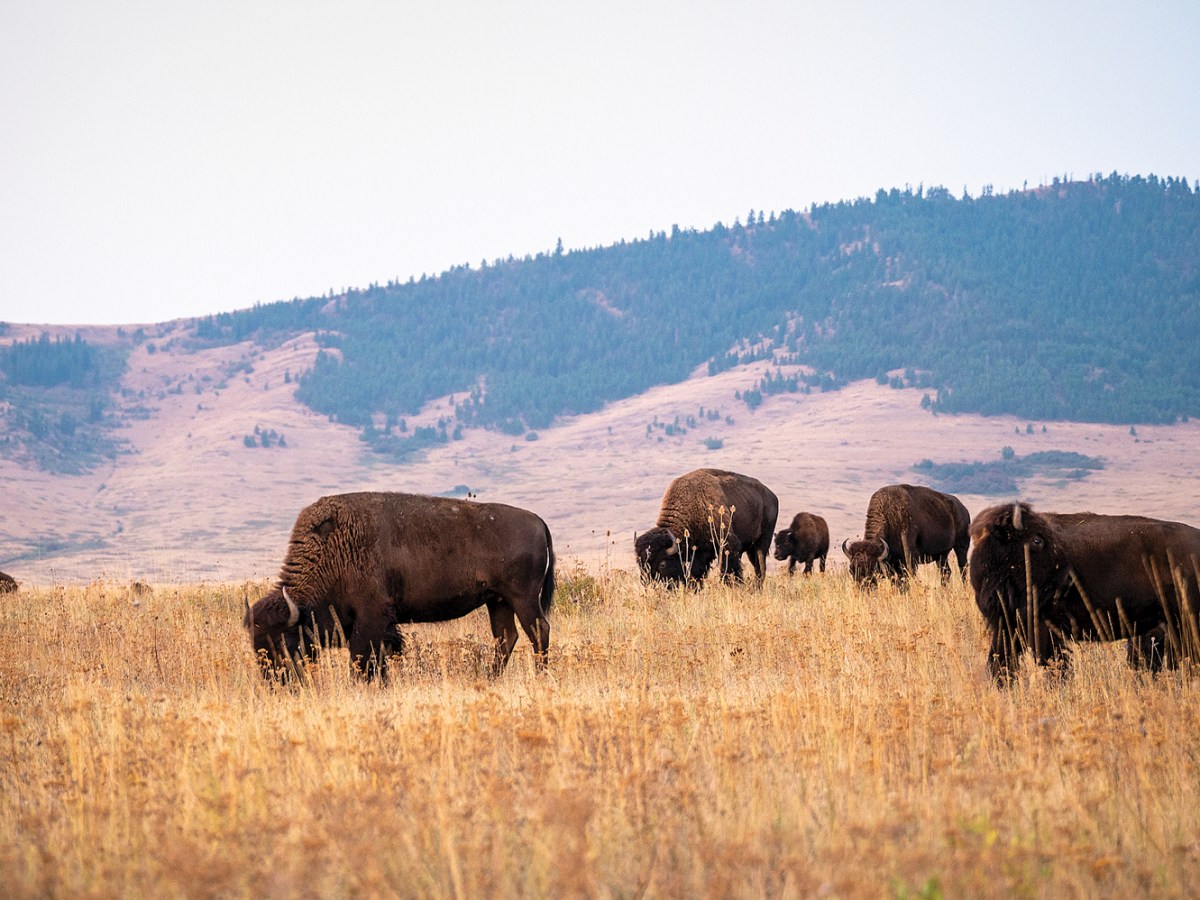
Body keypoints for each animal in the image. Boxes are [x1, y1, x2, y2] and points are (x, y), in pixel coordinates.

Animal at [250, 496, 559, 681]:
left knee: (538, 630)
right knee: (506, 638)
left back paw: (540, 675)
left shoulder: (370, 618)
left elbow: (362, 656)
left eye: (284, 640)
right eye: (256, 643)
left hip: (522, 598)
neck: (334, 548)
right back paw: (489, 677)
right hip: (498, 601)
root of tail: (539, 522)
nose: (275, 679)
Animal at [638, 468, 777, 588]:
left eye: (662, 564)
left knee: (761, 567)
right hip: (750, 549)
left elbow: (727, 570)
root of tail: (772, 495)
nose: (649, 584)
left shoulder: (728, 545)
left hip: (763, 542)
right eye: (640, 563)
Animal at [840, 482, 969, 588]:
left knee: (963, 568)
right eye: (851, 570)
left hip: (961, 547)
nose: (862, 588)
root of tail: (963, 508)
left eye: (872, 568)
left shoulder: (909, 560)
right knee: (946, 572)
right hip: (941, 556)